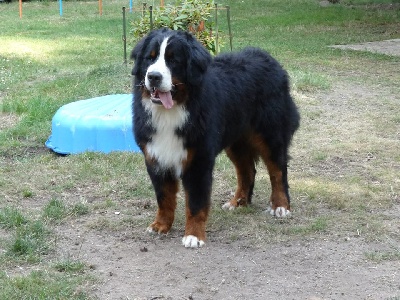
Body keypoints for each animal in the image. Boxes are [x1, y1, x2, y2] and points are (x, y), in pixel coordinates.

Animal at [131, 28, 300, 248]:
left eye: (173, 60)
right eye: (149, 58)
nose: (153, 76)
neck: (172, 111)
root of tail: (271, 60)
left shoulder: (198, 160)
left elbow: (196, 203)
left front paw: (194, 235)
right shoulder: (156, 157)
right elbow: (164, 197)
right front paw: (161, 225)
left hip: (271, 135)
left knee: (278, 171)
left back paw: (281, 206)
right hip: (236, 141)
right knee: (247, 171)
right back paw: (238, 202)